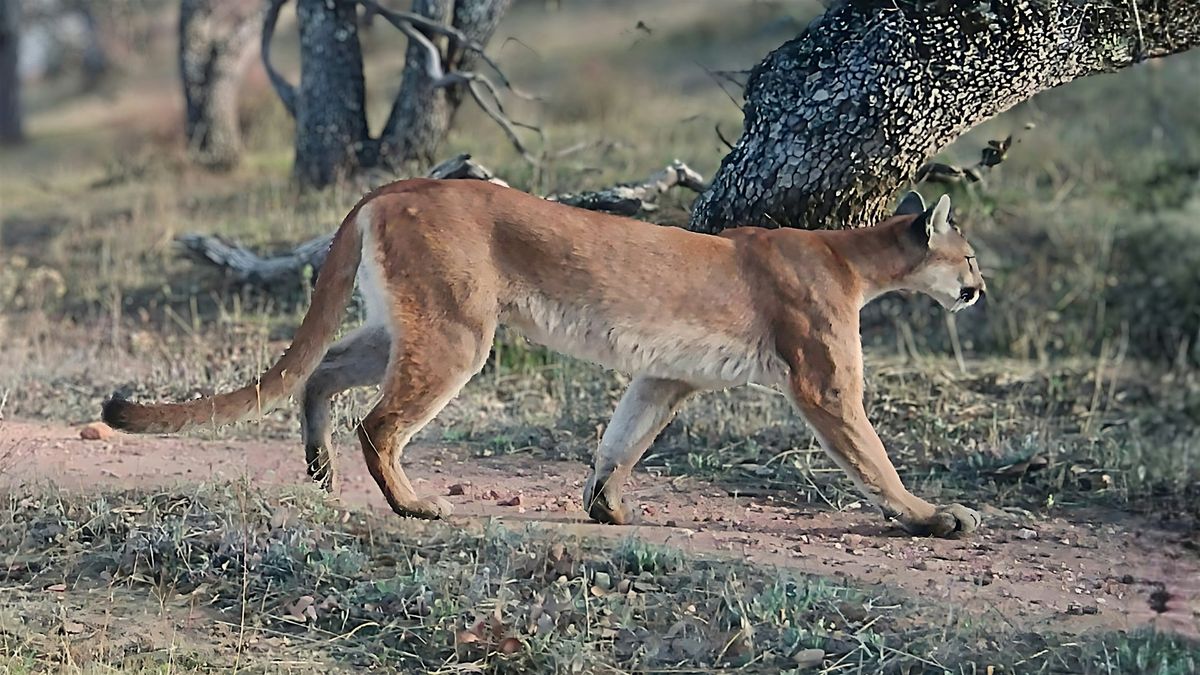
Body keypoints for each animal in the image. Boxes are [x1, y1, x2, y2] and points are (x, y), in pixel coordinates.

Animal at [103, 180, 986, 537]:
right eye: (968, 254)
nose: (978, 287)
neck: (855, 258)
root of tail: (398, 183)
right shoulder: (825, 381)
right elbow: (872, 458)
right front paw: (929, 515)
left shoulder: (667, 372)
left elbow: (624, 435)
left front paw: (606, 505)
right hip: (457, 333)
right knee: (381, 423)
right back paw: (414, 506)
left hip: (406, 325)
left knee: (323, 371)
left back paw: (320, 467)